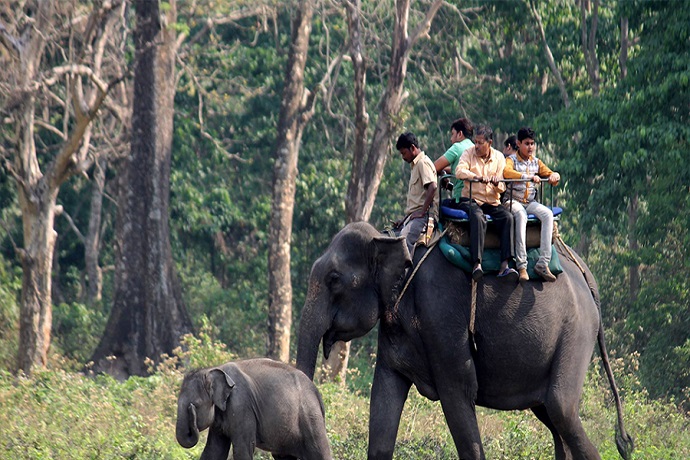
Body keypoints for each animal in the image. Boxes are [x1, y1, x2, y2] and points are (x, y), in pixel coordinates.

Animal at [175, 360, 330, 460]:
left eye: (195, 404)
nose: (191, 411)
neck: (213, 369)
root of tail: (316, 391)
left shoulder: (241, 405)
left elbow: (243, 448)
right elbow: (214, 450)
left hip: (310, 417)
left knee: (319, 451)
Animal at [292, 221, 632, 458]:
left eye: (334, 279)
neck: (393, 237)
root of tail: (585, 274)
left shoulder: (442, 314)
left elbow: (459, 391)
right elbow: (385, 396)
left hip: (576, 331)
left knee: (561, 408)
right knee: (551, 413)